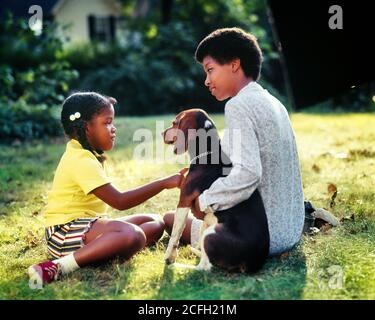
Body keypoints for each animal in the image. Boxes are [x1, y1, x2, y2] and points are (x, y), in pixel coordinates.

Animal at [162, 108, 270, 272]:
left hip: (211, 234)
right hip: (208, 226)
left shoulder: (184, 200)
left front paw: (169, 257)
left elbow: (175, 233)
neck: (208, 153)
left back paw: (179, 266)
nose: (162, 133)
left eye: (175, 123)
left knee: (204, 268)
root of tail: (253, 264)